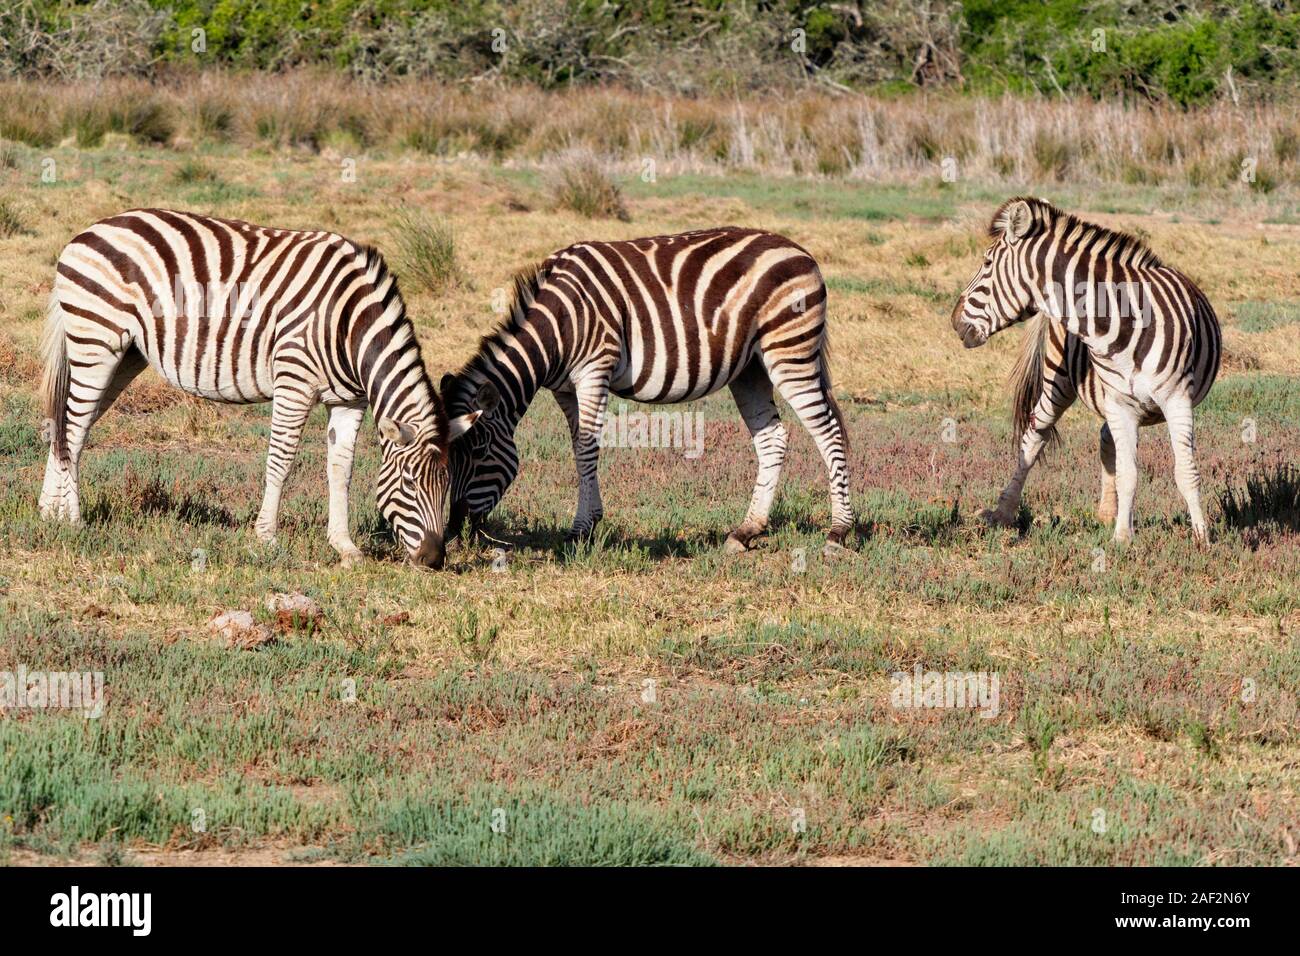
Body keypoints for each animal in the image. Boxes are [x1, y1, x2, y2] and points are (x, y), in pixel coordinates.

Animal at [39, 209, 485, 568]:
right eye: (409, 483)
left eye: (447, 483)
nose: (433, 560)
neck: (350, 325)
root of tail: (87, 231)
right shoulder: (295, 380)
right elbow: (281, 460)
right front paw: (266, 537)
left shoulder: (350, 400)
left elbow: (341, 469)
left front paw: (344, 547)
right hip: (97, 341)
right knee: (73, 428)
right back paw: (74, 519)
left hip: (126, 354)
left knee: (67, 426)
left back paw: (49, 512)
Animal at [438, 227, 854, 554]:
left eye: (479, 453)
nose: (454, 531)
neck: (556, 327)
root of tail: (801, 251)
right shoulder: (565, 389)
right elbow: (578, 446)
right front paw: (590, 521)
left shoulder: (595, 369)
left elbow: (587, 448)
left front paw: (580, 531)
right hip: (750, 369)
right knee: (773, 439)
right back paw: (746, 531)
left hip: (789, 351)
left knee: (829, 433)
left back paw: (838, 532)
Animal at [951, 197, 1221, 543]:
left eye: (986, 263)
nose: (954, 320)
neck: (1123, 319)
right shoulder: (1119, 403)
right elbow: (1129, 472)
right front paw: (1123, 538)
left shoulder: (1176, 399)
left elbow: (1185, 471)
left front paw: (1202, 537)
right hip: (1060, 382)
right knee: (1034, 436)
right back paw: (1004, 512)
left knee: (1105, 439)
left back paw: (1107, 511)